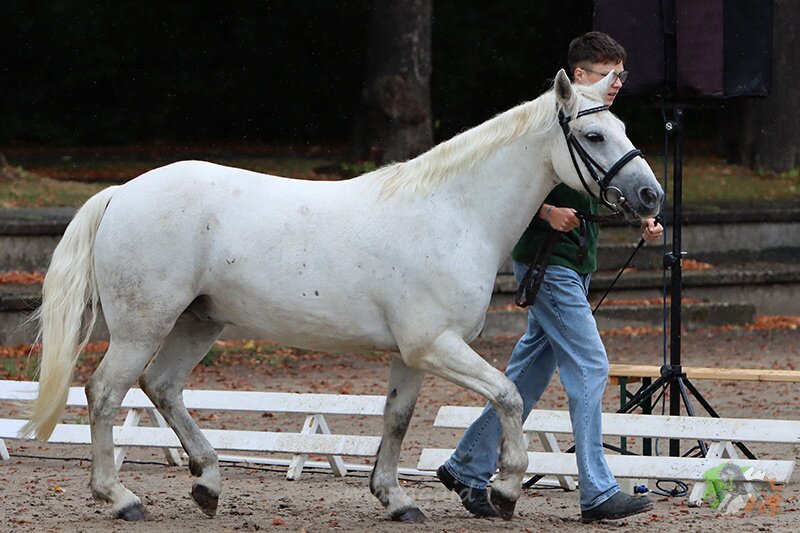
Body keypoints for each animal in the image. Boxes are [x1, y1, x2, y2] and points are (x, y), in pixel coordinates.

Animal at [20, 70, 663, 522]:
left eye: (625, 131)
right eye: (593, 134)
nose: (650, 196)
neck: (452, 212)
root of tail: (122, 192)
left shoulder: (413, 355)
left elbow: (398, 419)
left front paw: (396, 499)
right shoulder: (434, 345)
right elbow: (506, 394)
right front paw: (505, 490)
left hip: (199, 322)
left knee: (163, 386)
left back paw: (207, 482)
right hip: (143, 325)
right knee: (105, 393)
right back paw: (121, 497)